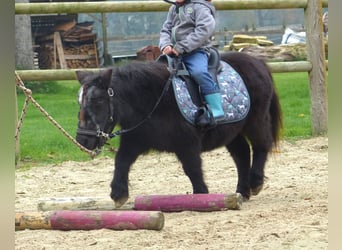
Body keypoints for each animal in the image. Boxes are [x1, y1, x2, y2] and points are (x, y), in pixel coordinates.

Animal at [76, 51, 282, 207]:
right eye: (80, 102)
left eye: (97, 100)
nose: (83, 140)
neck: (153, 99)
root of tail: (258, 62)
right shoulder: (135, 140)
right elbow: (121, 161)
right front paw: (119, 194)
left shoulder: (187, 144)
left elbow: (192, 168)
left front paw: (201, 195)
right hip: (232, 132)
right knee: (242, 154)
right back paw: (242, 192)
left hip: (256, 120)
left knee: (261, 145)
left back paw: (255, 183)